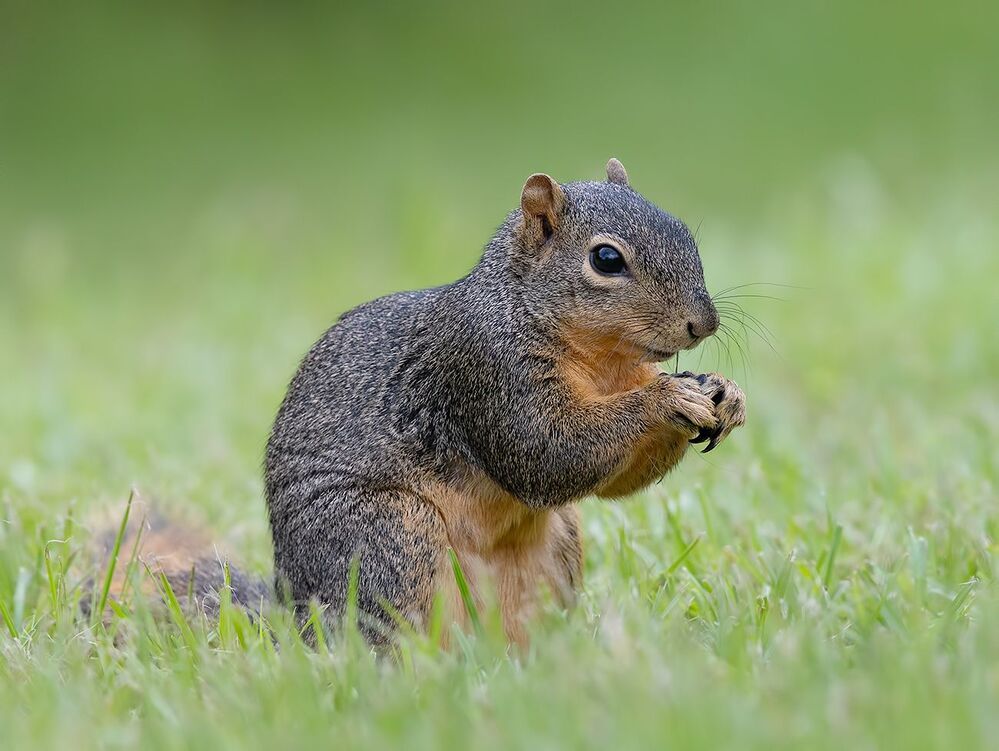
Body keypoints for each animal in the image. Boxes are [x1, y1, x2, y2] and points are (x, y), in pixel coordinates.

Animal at [97, 159, 745, 645]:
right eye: (606, 259)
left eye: (685, 230)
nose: (704, 324)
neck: (597, 357)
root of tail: (295, 620)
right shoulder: (485, 372)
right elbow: (546, 452)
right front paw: (667, 396)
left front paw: (724, 394)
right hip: (386, 539)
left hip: (553, 552)